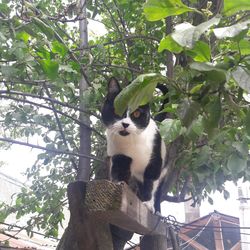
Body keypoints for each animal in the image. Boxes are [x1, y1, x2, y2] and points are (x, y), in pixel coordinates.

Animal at [100, 77, 167, 212]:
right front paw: (119, 183)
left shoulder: (155, 161)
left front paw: (147, 202)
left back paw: (157, 210)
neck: (131, 143)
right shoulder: (120, 156)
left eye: (136, 113)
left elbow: (150, 182)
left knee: (158, 191)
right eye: (117, 110)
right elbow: (119, 171)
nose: (125, 124)